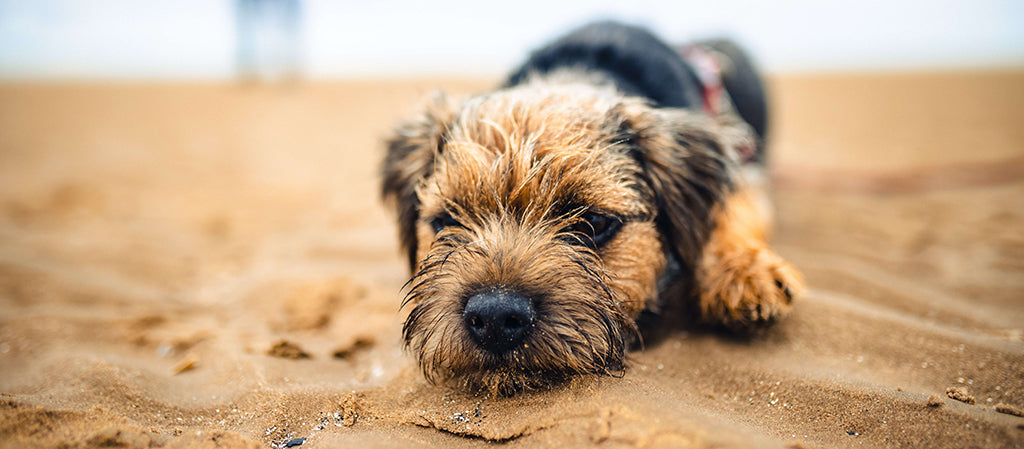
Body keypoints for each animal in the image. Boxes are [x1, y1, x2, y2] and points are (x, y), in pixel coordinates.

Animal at [380, 21, 802, 393]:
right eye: (446, 220)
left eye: (595, 222)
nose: (495, 317)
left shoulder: (745, 168)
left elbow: (733, 209)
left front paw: (745, 272)